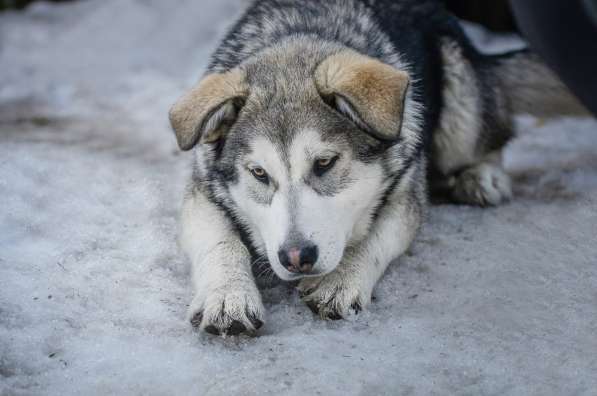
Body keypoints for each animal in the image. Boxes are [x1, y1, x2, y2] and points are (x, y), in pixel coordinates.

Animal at [170, 0, 584, 336]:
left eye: (325, 163)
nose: (296, 256)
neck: (298, 41)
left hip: (460, 99)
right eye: (259, 173)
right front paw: (228, 296)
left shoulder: (405, 193)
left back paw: (483, 177)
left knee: (495, 132)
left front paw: (342, 279)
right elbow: (221, 242)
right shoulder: (202, 194)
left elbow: (375, 237)